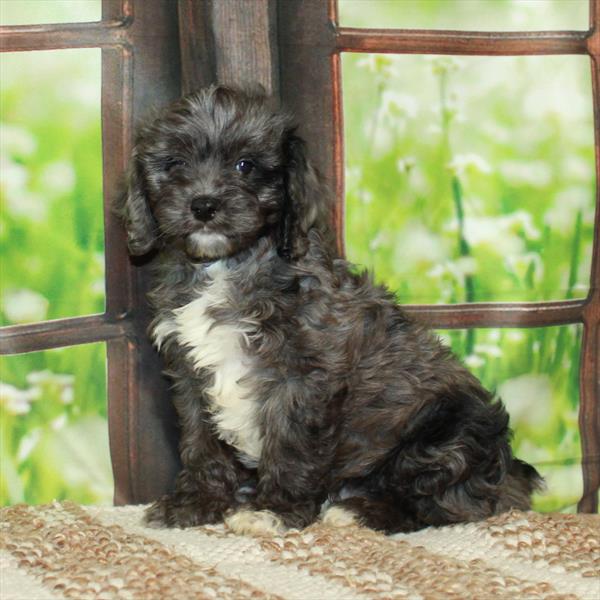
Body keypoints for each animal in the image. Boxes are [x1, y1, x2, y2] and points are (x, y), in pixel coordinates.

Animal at [118, 84, 544, 536]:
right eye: (175, 164)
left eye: (245, 165)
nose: (203, 205)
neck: (226, 265)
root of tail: (509, 473)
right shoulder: (189, 374)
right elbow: (201, 442)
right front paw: (196, 502)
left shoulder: (303, 379)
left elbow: (290, 446)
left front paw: (275, 510)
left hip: (448, 432)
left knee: (436, 501)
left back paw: (361, 511)